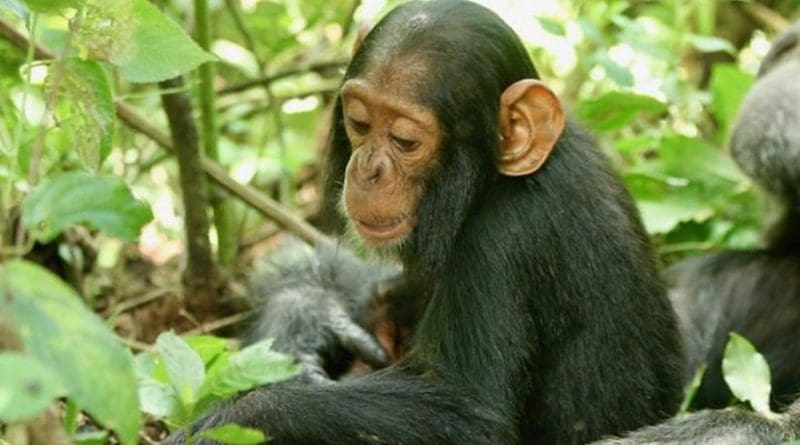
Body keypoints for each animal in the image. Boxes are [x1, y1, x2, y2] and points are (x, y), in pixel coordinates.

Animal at [166, 1, 684, 442]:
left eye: (405, 140)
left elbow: (470, 414)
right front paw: (301, 322)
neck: (490, 179)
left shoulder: (502, 240)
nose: (368, 169)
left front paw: (233, 419)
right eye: (359, 122)